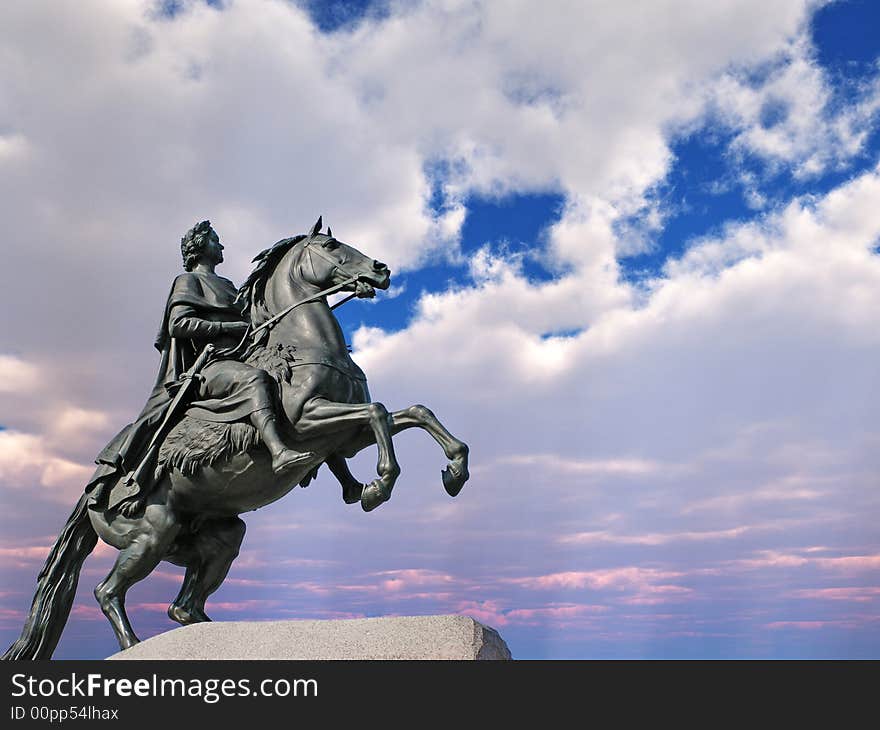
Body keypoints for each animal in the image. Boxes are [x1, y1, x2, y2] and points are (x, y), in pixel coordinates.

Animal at [3, 219, 470, 656]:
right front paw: (378, 485)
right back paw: (133, 643)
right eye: (331, 244)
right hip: (150, 535)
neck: (302, 345)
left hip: (213, 537)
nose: (381, 269)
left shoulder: (345, 437)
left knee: (181, 607)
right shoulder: (308, 423)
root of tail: (93, 489)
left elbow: (412, 412)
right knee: (108, 592)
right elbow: (378, 414)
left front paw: (453, 472)